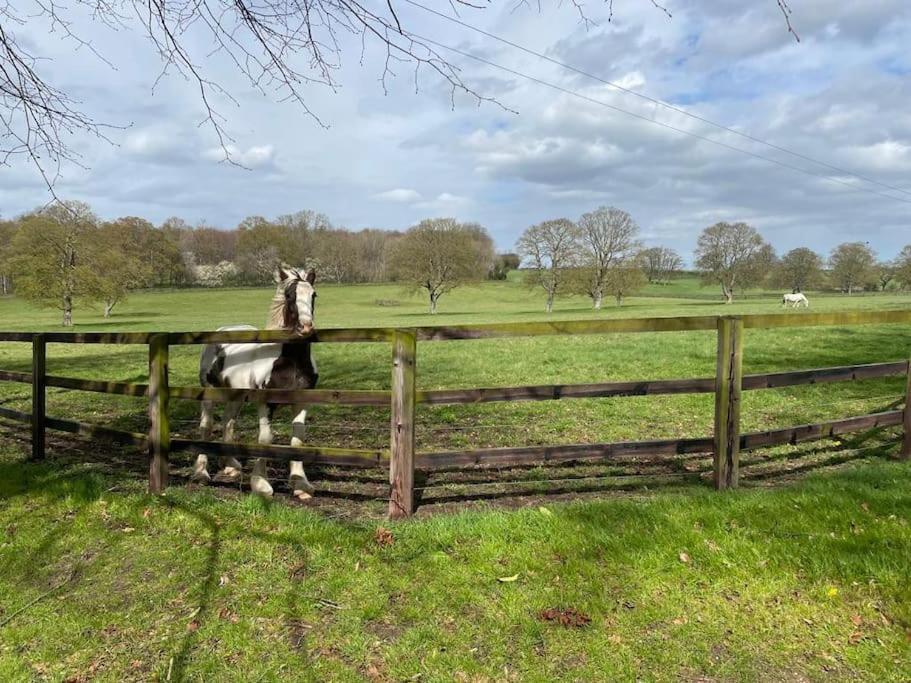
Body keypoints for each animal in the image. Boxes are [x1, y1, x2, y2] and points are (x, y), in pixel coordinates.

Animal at [191, 264, 318, 500]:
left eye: (313, 294)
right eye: (289, 295)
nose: (305, 328)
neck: (288, 361)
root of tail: (223, 329)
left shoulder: (302, 401)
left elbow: (298, 439)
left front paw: (300, 485)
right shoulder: (265, 402)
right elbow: (266, 438)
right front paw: (261, 485)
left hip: (237, 394)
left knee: (228, 420)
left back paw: (230, 465)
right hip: (209, 391)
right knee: (207, 425)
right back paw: (201, 473)